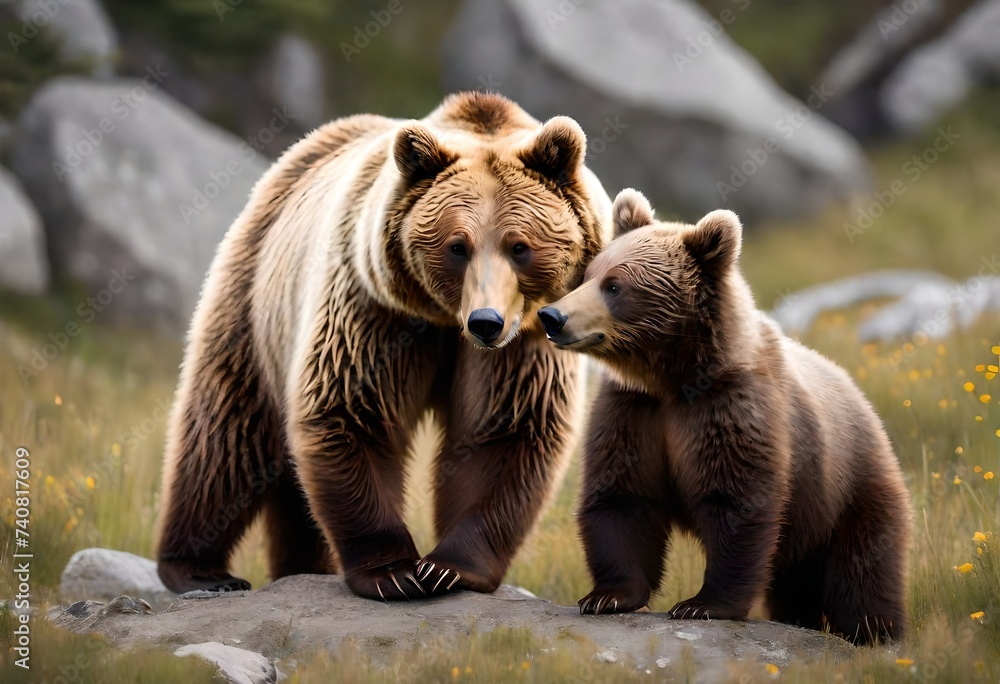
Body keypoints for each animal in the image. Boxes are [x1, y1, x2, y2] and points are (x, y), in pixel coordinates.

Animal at [155, 92, 612, 601]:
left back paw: (299, 564)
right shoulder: (373, 308)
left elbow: (505, 430)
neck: (443, 320)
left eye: (520, 246)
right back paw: (200, 569)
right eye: (457, 246)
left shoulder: (526, 341)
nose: (486, 322)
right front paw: (394, 571)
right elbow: (353, 411)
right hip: (254, 296)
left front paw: (450, 568)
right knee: (226, 432)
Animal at [536, 189, 911, 644]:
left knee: (863, 565)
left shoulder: (731, 406)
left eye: (615, 286)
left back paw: (873, 631)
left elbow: (736, 502)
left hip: (846, 484)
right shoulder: (633, 410)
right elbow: (622, 496)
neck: (673, 378)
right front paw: (606, 596)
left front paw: (701, 605)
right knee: (797, 581)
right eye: (588, 275)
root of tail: (862, 398)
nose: (553, 317)